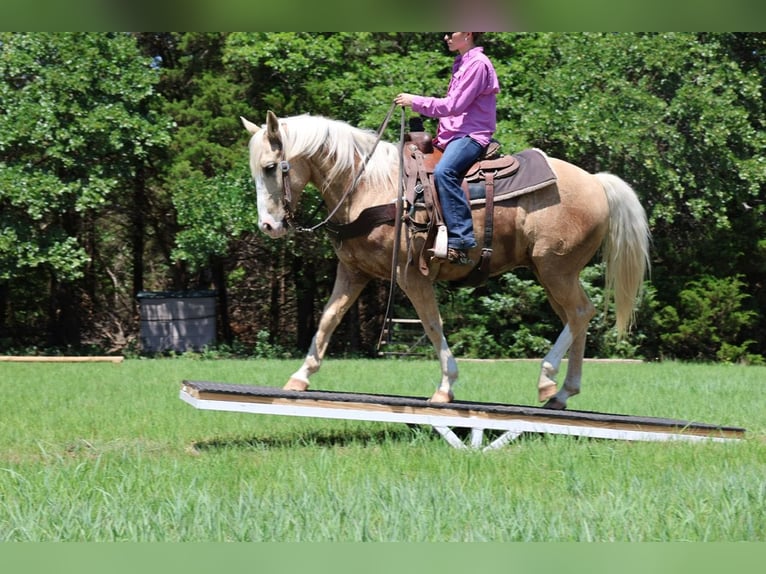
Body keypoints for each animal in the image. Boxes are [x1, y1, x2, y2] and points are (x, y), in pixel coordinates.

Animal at [241, 110, 650, 409]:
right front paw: (299, 377)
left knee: (580, 313)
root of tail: (597, 182)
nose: (268, 226)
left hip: (556, 269)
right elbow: (328, 319)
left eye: (271, 167)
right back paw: (563, 392)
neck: (369, 186)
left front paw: (445, 386)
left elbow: (432, 323)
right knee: (578, 318)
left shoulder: (412, 275)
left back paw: (548, 380)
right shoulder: (353, 271)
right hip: (550, 273)